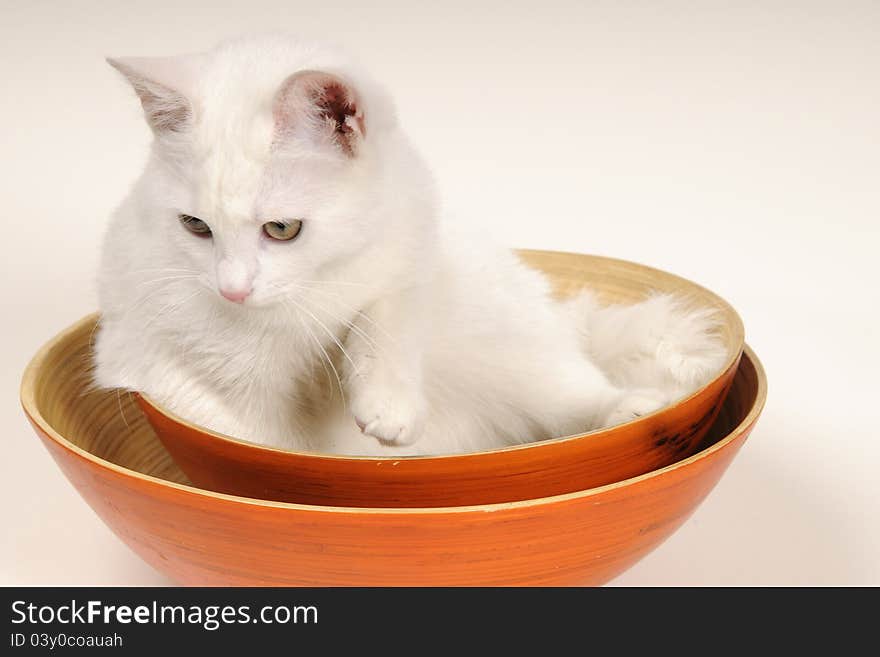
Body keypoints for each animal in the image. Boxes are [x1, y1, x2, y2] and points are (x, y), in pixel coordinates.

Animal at [94, 36, 728, 454]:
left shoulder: (408, 255)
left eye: (282, 229)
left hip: (508, 341)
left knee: (571, 392)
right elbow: (251, 432)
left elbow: (385, 320)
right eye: (195, 226)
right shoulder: (169, 360)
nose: (232, 291)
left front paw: (388, 408)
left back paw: (630, 408)